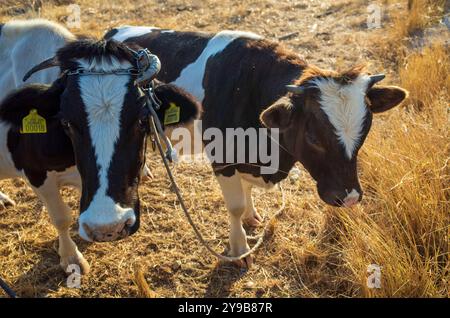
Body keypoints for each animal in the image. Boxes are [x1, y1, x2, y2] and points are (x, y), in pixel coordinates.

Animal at [0, 20, 200, 274]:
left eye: (142, 119)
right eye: (66, 122)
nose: (110, 227)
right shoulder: (35, 174)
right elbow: (61, 217)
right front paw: (71, 258)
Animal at [107, 26, 410, 266]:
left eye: (365, 129)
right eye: (313, 137)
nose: (349, 198)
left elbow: (247, 191)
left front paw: (252, 216)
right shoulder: (223, 158)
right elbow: (235, 206)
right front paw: (240, 249)